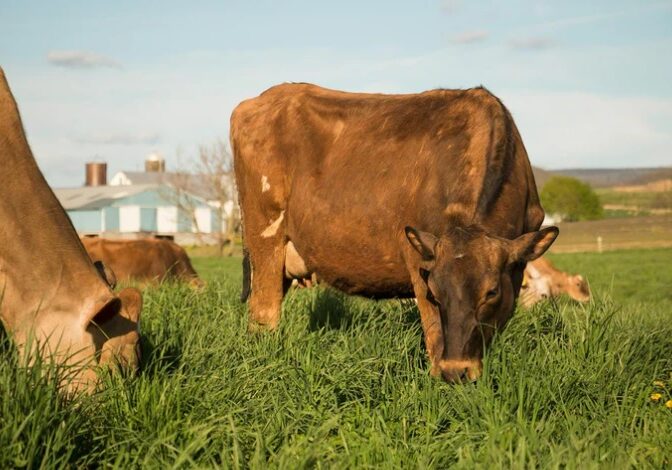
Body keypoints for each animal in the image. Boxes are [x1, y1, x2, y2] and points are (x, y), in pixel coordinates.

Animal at [230, 83, 558, 383]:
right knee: (263, 313)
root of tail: (261, 99)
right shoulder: (419, 260)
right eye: (435, 293)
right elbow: (434, 335)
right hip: (265, 238)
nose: (456, 371)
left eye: (491, 292)